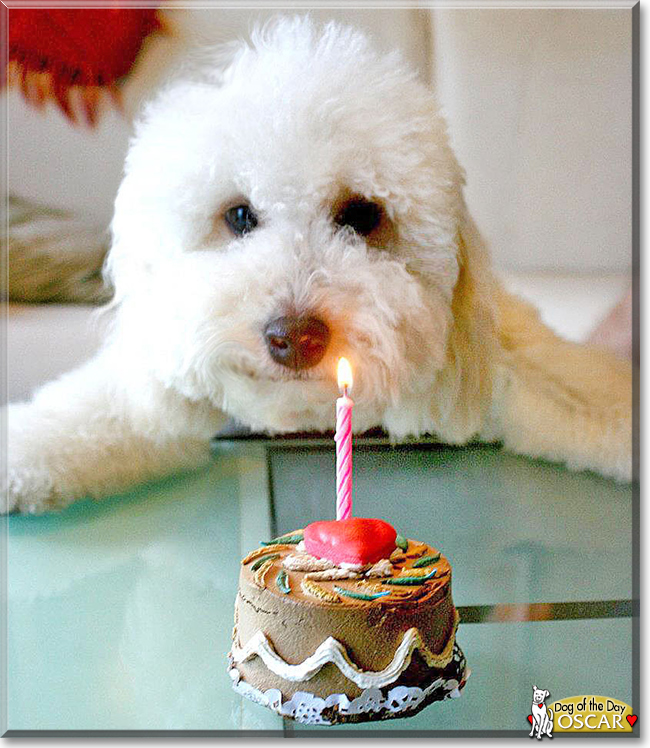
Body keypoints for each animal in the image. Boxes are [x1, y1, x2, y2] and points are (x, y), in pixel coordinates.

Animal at [5, 16, 632, 516]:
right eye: (239, 215)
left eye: (361, 215)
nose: (295, 338)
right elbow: (98, 414)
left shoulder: (510, 358)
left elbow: (580, 390)